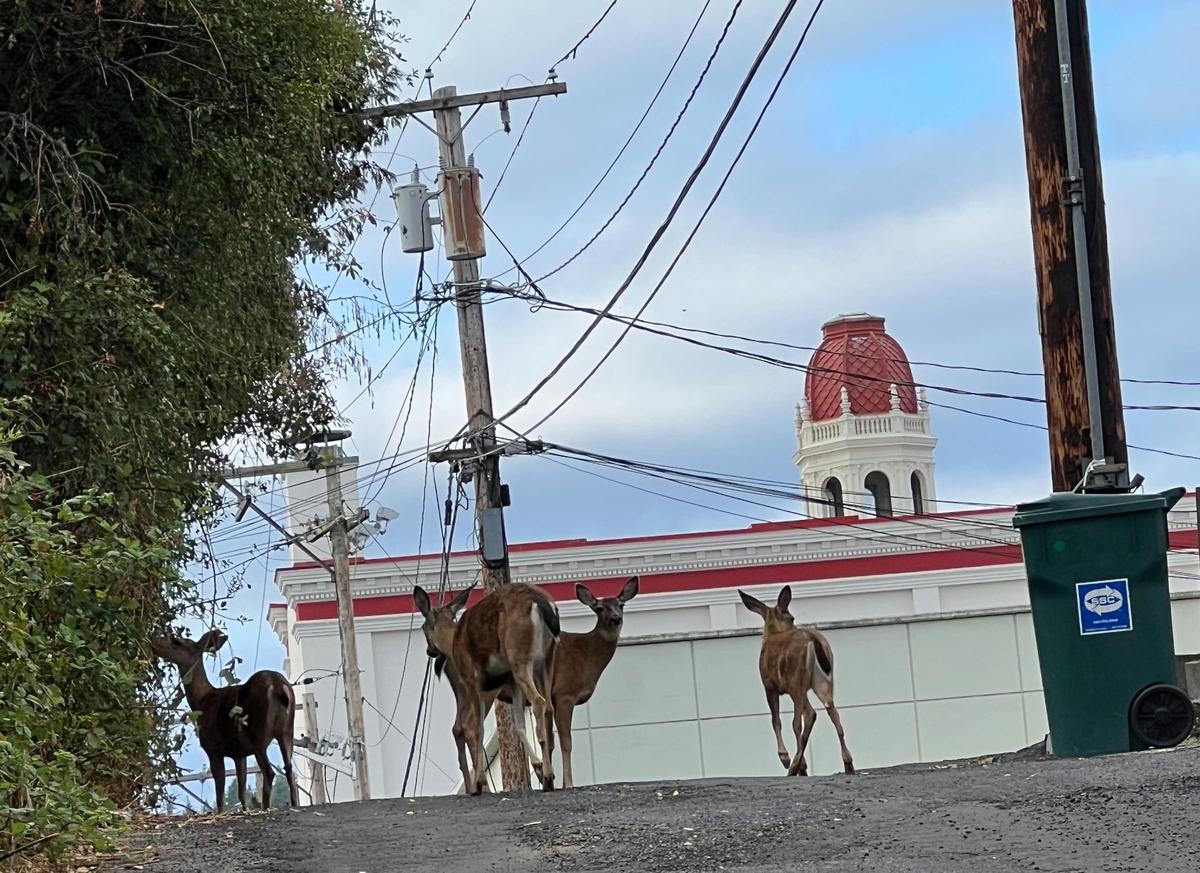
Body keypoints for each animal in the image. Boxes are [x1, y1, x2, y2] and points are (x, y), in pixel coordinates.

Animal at [150, 629, 299, 813]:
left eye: (176, 640)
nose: (152, 640)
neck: (202, 701)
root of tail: (279, 686)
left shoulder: (213, 747)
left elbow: (220, 790)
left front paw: (220, 813)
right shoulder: (239, 753)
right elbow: (241, 790)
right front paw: (245, 810)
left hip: (259, 732)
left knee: (269, 771)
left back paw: (266, 807)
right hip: (287, 731)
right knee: (289, 769)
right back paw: (294, 804)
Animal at [413, 581, 560, 795]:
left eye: (423, 627)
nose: (429, 651)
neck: (452, 640)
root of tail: (538, 601)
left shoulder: (472, 680)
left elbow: (476, 729)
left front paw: (480, 781)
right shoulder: (510, 682)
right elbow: (519, 726)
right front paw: (538, 767)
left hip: (518, 656)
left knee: (537, 702)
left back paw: (546, 777)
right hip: (546, 660)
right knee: (548, 706)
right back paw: (548, 774)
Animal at [739, 586, 855, 777]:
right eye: (791, 617)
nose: (793, 622)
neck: (774, 633)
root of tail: (812, 638)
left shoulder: (769, 686)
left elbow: (777, 721)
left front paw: (785, 758)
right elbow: (794, 723)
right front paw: (802, 766)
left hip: (796, 682)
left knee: (810, 714)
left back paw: (792, 767)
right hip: (822, 682)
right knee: (833, 713)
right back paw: (848, 764)